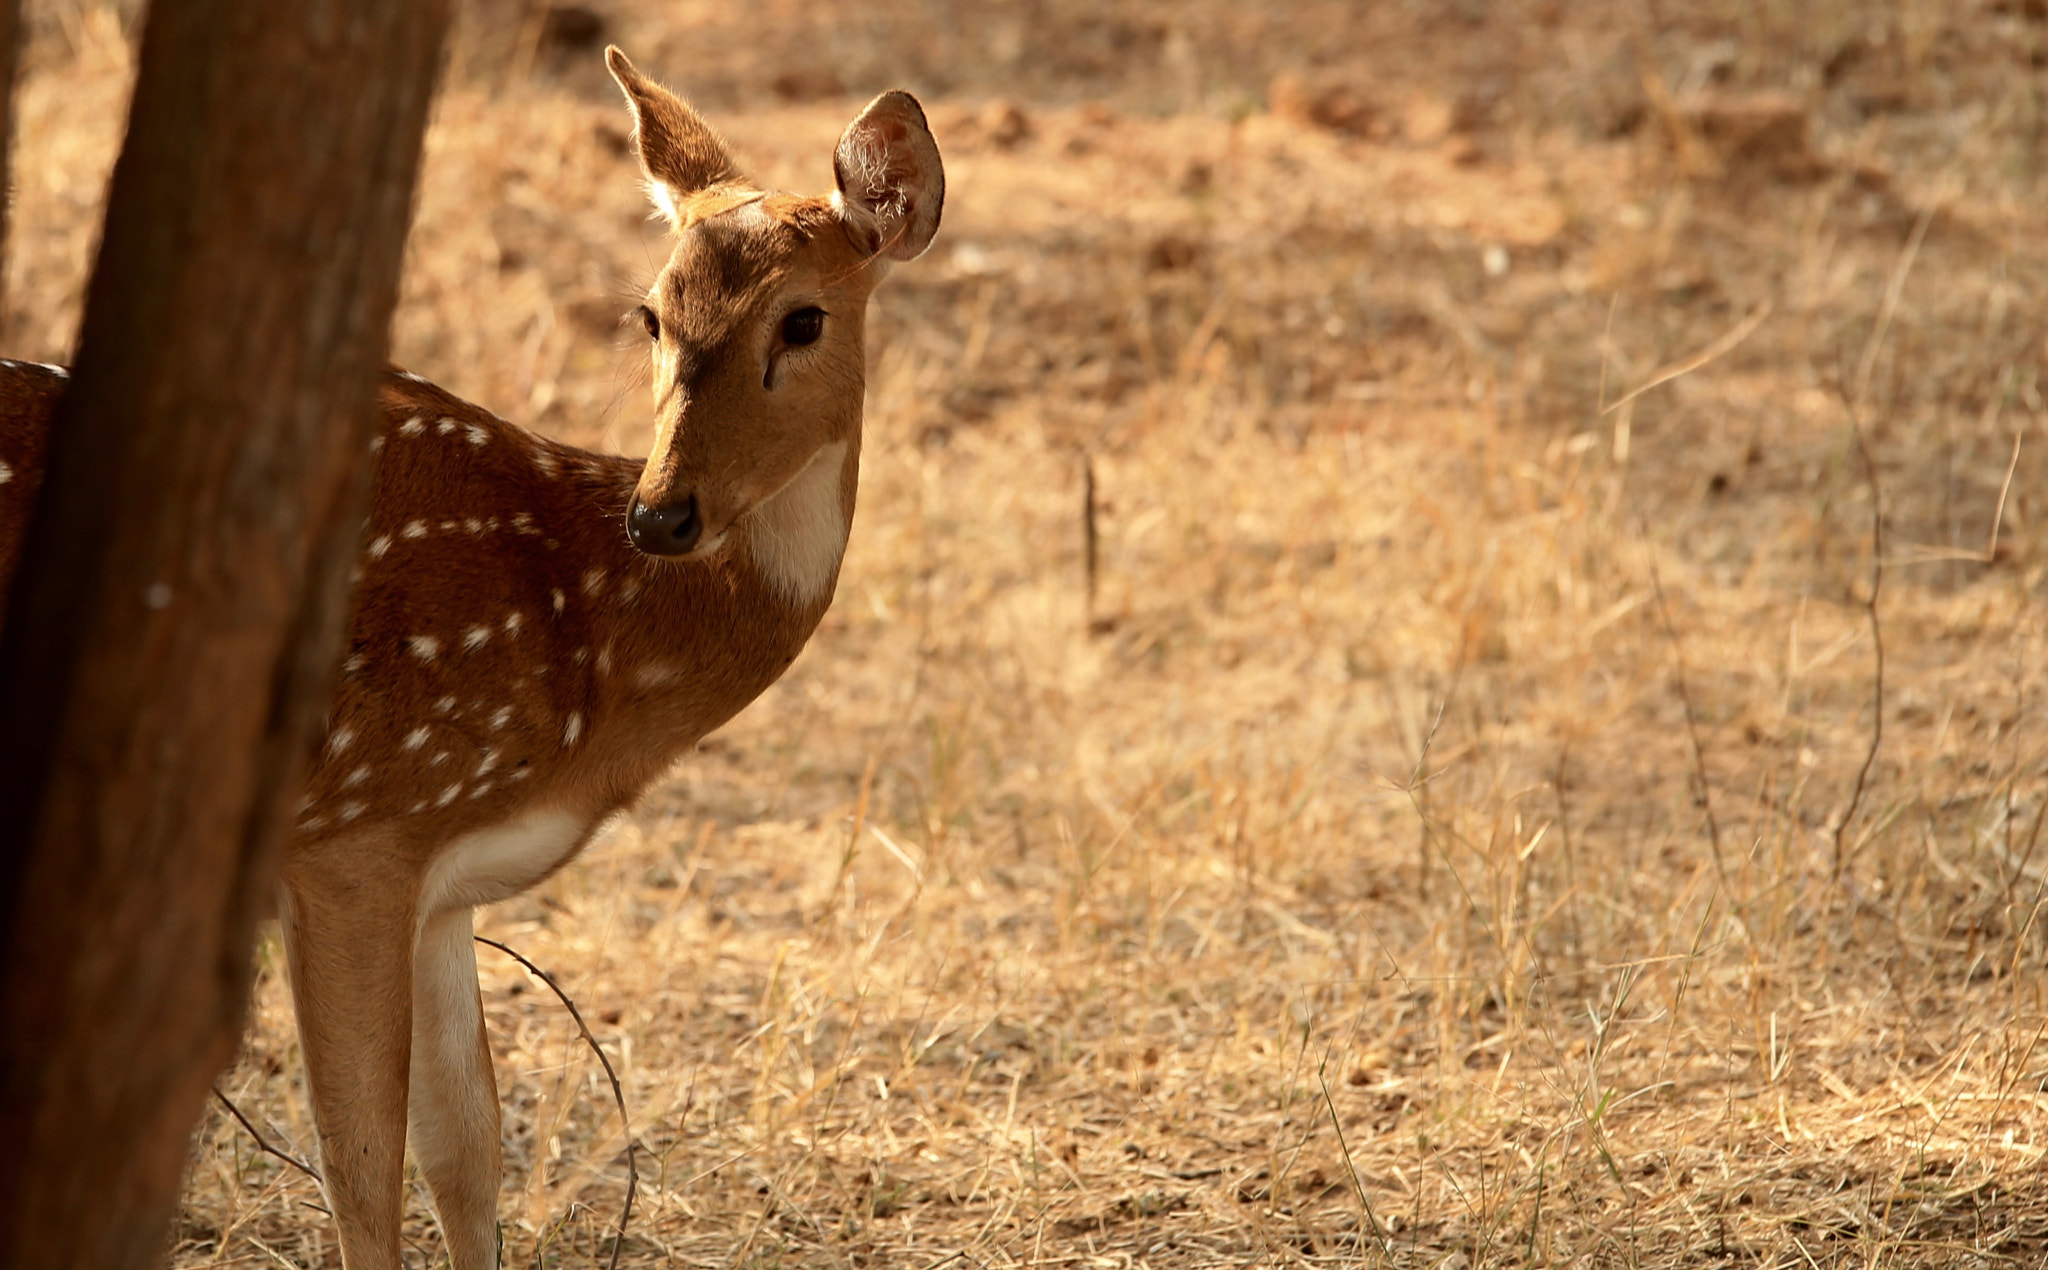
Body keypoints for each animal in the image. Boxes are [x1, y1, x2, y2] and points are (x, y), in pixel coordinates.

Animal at [0, 48, 942, 1270]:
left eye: (805, 319)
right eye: (651, 313)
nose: (663, 514)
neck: (585, 639)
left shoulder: (443, 888)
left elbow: (467, 1149)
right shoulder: (354, 830)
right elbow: (361, 1162)